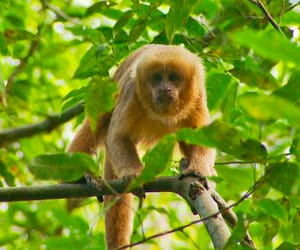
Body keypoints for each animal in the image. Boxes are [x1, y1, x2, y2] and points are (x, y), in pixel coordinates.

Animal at [67, 45, 216, 250]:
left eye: (173, 77)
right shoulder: (132, 90)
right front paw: (133, 175)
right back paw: (81, 176)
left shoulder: (198, 96)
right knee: (99, 120)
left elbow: (203, 139)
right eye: (157, 78)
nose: (164, 89)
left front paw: (197, 172)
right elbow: (117, 135)